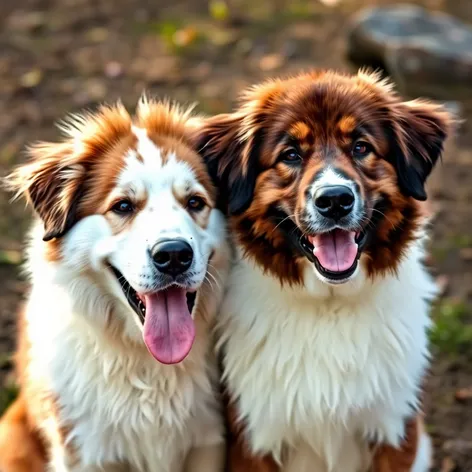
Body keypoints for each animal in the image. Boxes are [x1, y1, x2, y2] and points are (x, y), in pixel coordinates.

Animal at [0, 97, 230, 470]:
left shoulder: (207, 442)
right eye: (123, 206)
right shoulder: (85, 453)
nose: (173, 255)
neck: (147, 365)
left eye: (195, 202)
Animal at [196, 70, 454, 472]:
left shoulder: (395, 431)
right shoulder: (253, 440)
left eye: (361, 148)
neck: (328, 306)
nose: (334, 200)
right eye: (290, 155)